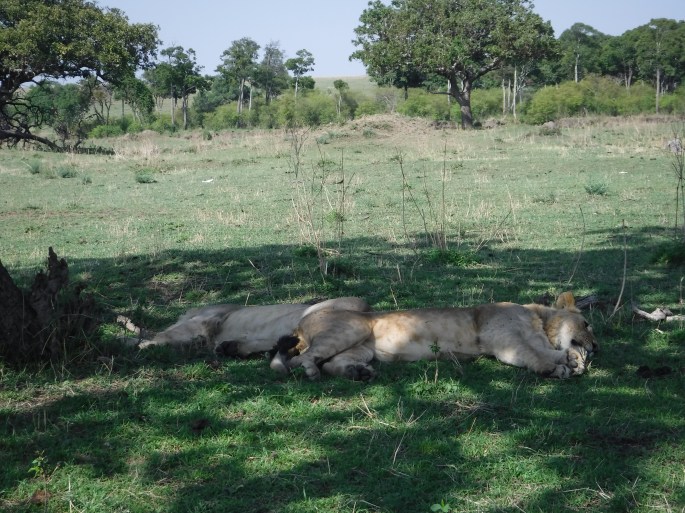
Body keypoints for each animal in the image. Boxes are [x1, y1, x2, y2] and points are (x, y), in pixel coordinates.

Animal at [272, 292, 597, 380]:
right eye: (587, 323)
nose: (596, 346)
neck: (538, 321)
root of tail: (301, 323)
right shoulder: (507, 342)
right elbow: (533, 355)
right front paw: (556, 368)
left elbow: (552, 351)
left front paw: (573, 360)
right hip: (355, 326)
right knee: (301, 359)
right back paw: (311, 371)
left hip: (362, 347)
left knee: (331, 362)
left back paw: (358, 372)